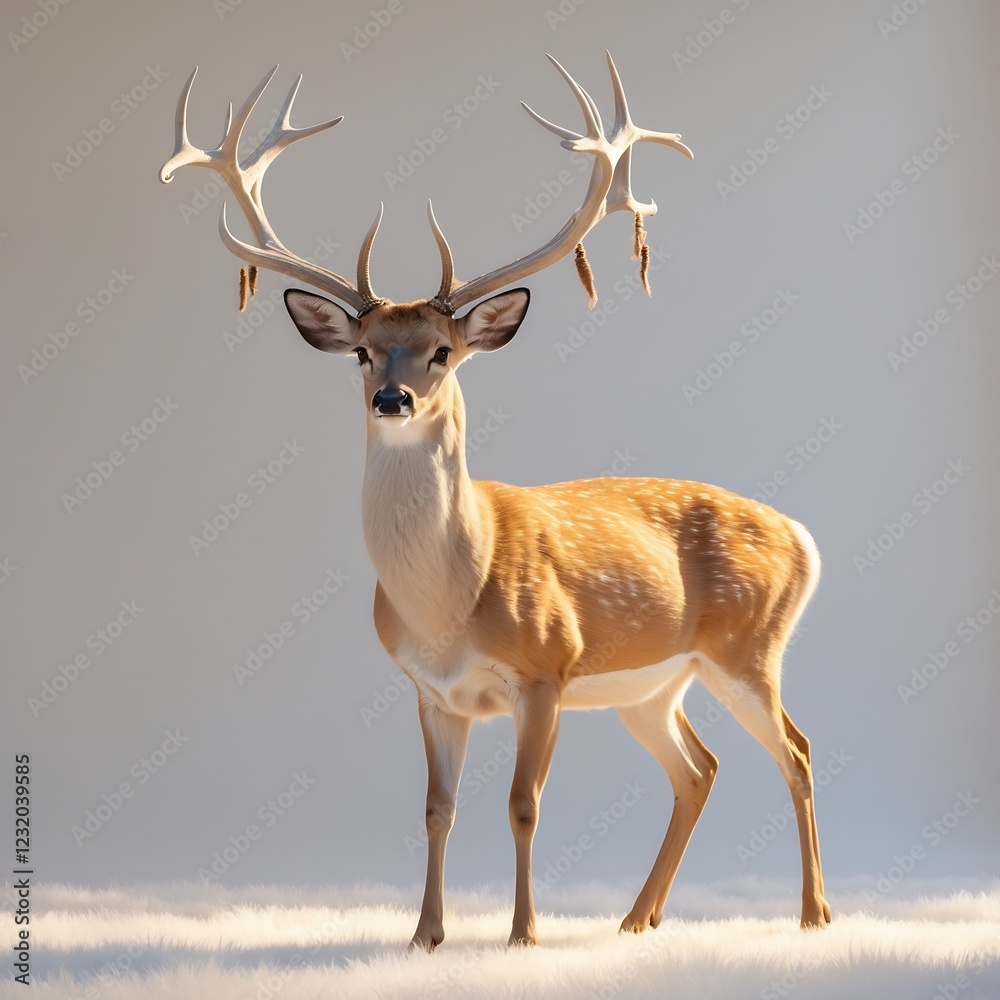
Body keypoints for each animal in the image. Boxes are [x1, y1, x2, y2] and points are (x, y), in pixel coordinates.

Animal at [160, 53, 830, 950]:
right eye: (363, 353)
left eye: (443, 351)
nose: (394, 400)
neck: (450, 604)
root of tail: (802, 535)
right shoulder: (429, 691)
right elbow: (437, 808)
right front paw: (424, 935)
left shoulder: (545, 668)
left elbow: (523, 805)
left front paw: (522, 934)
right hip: (653, 685)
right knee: (701, 768)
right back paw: (636, 920)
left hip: (748, 647)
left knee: (795, 750)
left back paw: (813, 915)